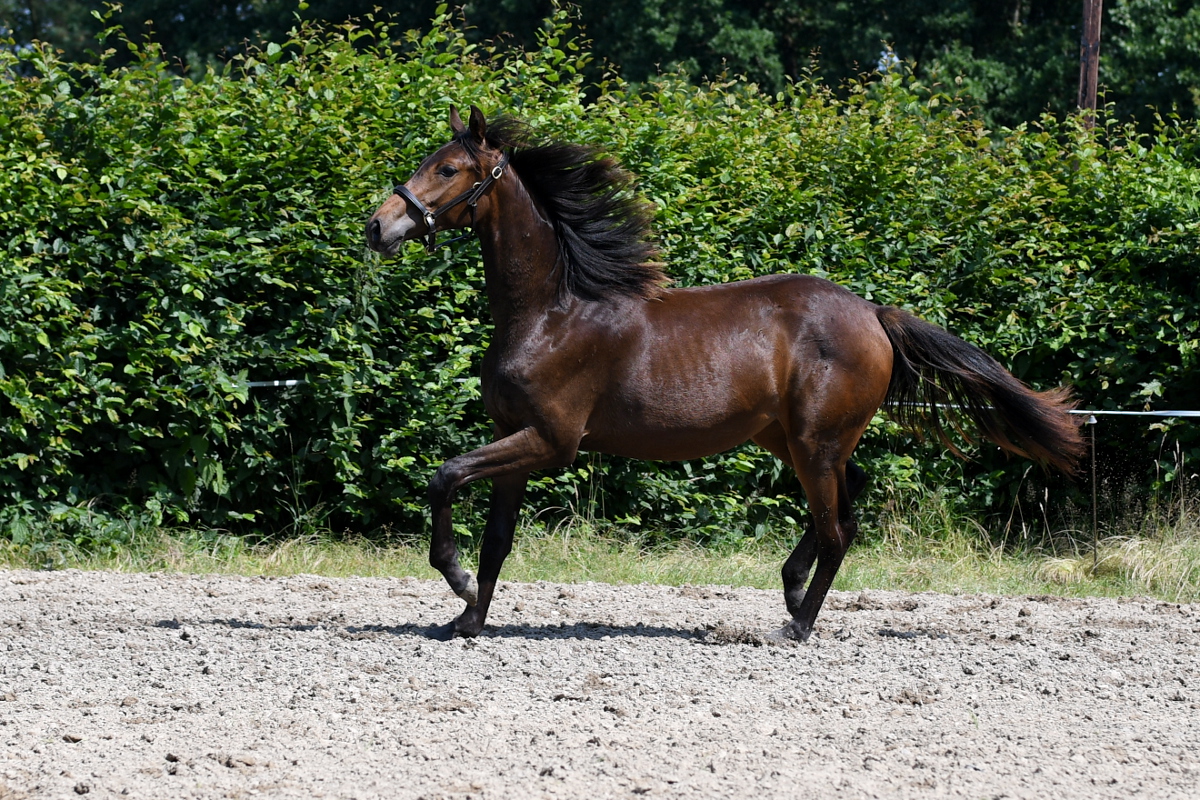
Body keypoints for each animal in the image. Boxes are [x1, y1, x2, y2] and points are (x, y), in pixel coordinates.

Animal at [366, 105, 1085, 642]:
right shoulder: (513, 438)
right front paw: (467, 618)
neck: (553, 312)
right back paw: (791, 592)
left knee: (838, 527)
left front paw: (456, 582)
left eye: (449, 168)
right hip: (793, 438)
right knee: (847, 502)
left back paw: (794, 627)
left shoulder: (549, 441)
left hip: (813, 442)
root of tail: (874, 314)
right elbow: (496, 538)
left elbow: (444, 477)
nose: (379, 226)